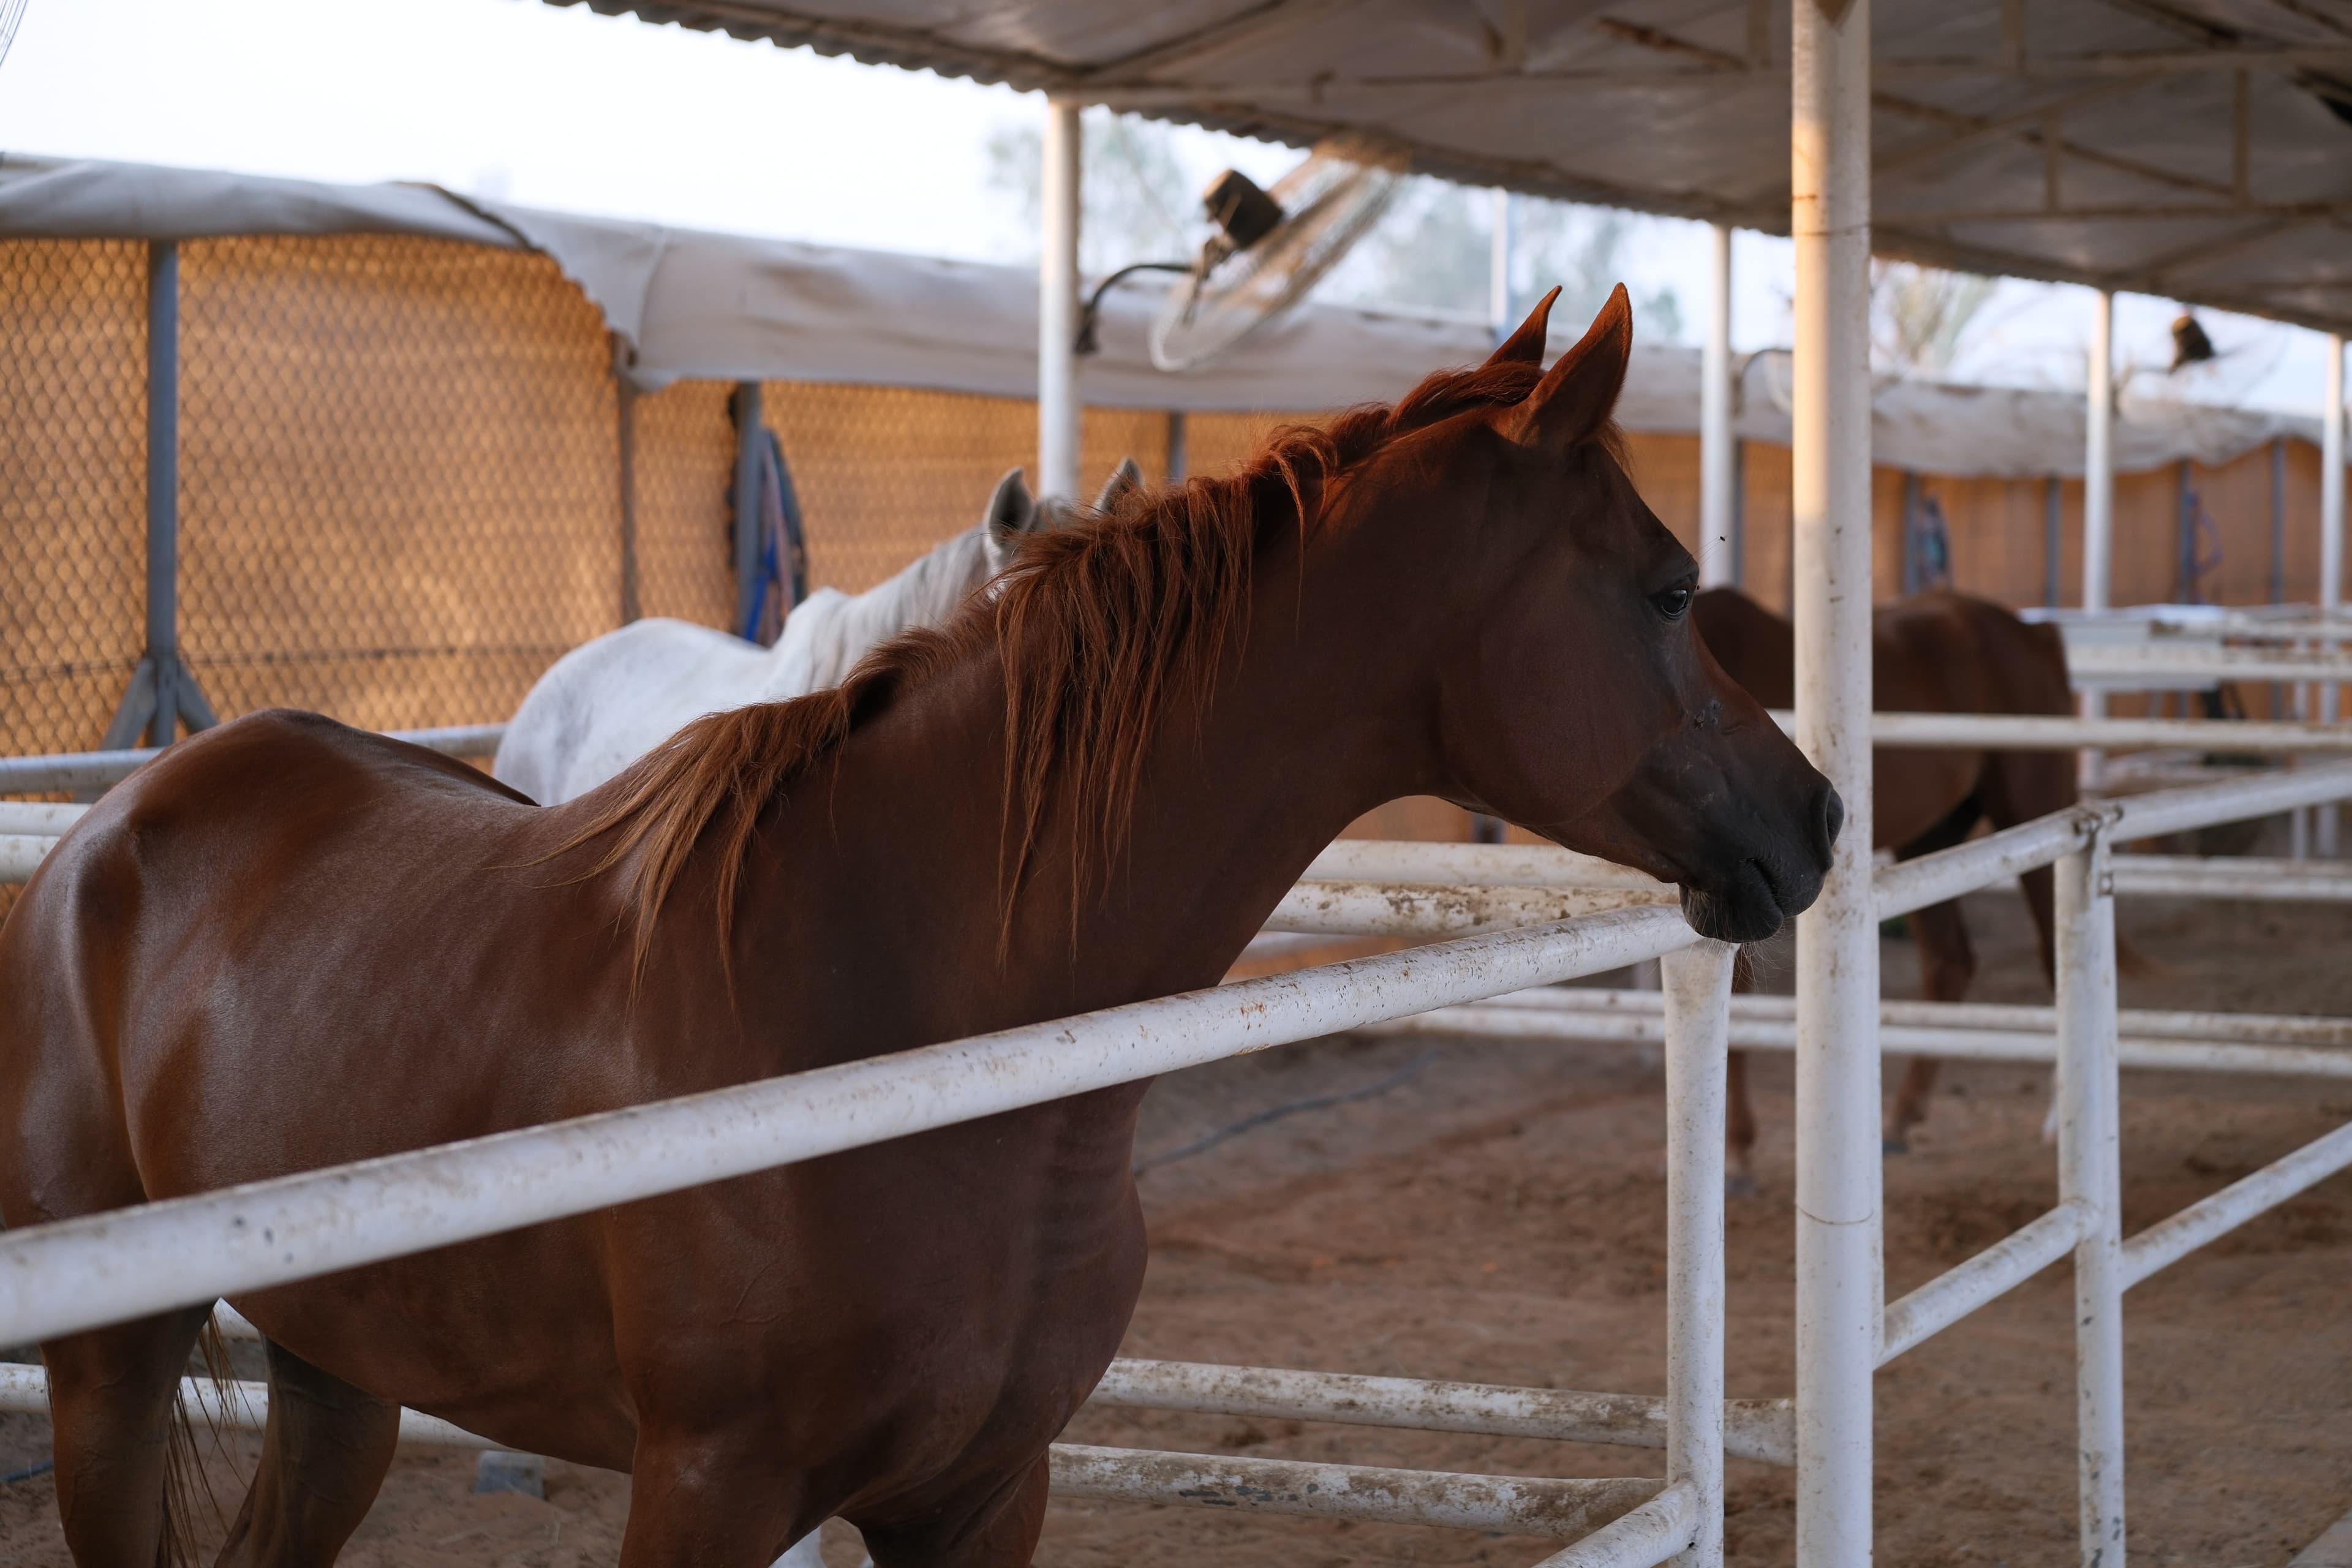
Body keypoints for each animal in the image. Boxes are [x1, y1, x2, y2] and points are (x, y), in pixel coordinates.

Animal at [1692, 586, 2076, 1190]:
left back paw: (2058, 1124)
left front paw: (1735, 1154)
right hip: (1930, 836)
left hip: (2034, 811)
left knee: (2054, 960)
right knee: (1950, 963)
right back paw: (1897, 1120)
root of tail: (2029, 632)